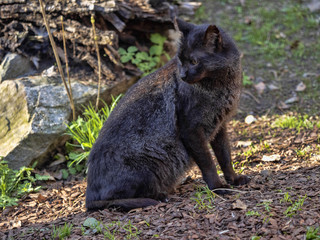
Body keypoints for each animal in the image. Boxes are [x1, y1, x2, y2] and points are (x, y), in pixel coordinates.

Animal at [85, 18, 250, 210]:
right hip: (152, 163)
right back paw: (160, 196)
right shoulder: (191, 130)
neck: (219, 85)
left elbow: (225, 156)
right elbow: (208, 162)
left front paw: (233, 179)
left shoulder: (219, 125)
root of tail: (88, 196)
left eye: (194, 61)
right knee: (114, 199)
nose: (183, 75)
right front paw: (217, 187)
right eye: (180, 60)